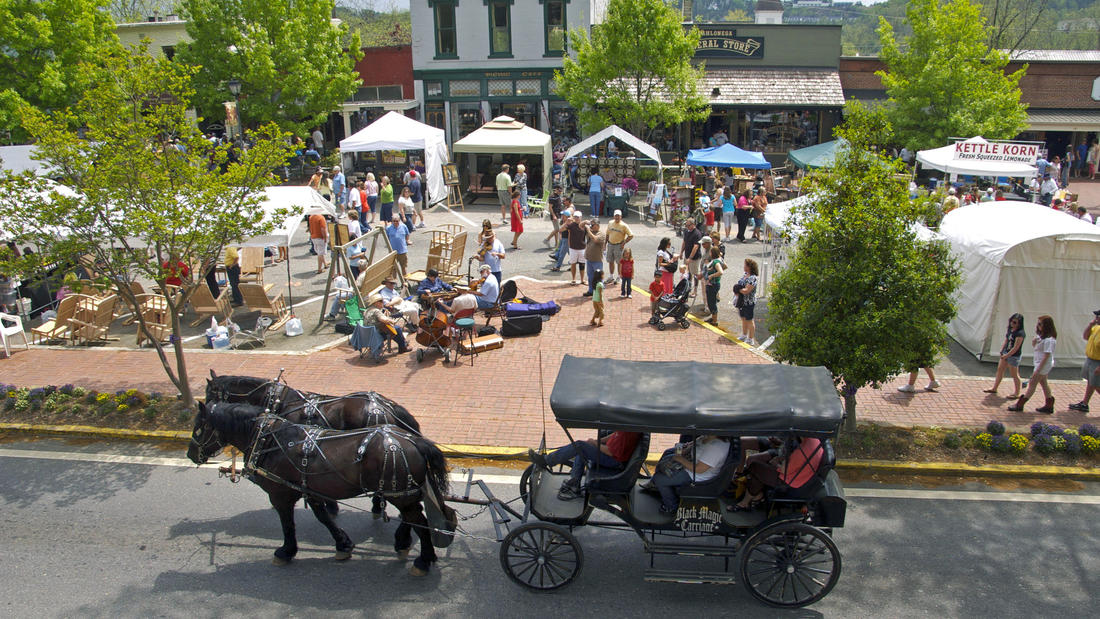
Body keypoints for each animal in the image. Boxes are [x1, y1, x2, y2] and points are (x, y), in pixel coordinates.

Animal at [187, 402, 453, 576]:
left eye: (198, 427)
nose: (190, 454)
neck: (270, 440)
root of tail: (414, 441)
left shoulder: (280, 494)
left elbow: (287, 523)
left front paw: (286, 551)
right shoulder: (309, 489)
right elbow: (323, 517)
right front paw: (343, 545)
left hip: (400, 494)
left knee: (419, 520)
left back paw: (422, 559)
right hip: (403, 493)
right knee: (415, 517)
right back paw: (409, 546)